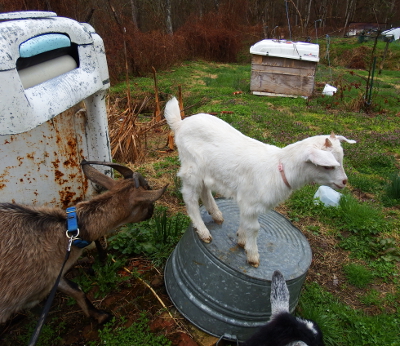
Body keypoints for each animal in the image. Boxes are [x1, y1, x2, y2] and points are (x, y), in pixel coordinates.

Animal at [0, 162, 166, 324]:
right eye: (148, 192)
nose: (152, 212)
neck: (67, 230)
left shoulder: (53, 273)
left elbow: (76, 289)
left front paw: (99, 316)